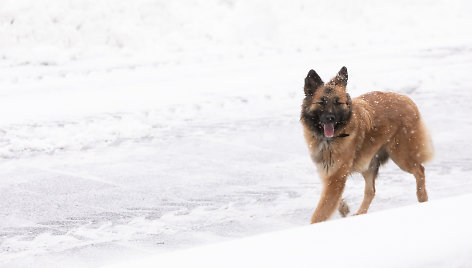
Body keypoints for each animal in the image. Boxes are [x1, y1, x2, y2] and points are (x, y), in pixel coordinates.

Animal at [300, 67, 434, 224]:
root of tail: (408, 100)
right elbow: (331, 199)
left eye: (338, 103)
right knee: (371, 191)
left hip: (401, 156)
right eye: (321, 102)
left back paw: (422, 198)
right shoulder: (328, 172)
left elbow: (321, 211)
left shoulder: (336, 176)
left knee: (420, 170)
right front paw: (343, 207)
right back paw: (360, 213)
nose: (330, 118)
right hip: (368, 163)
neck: (329, 138)